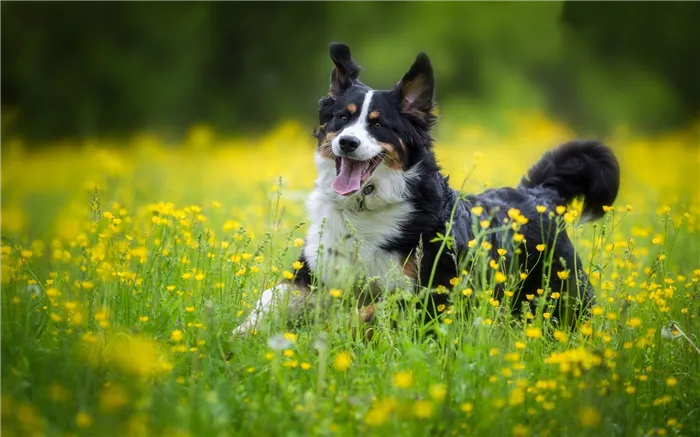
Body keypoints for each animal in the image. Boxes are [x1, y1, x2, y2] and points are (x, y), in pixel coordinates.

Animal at [232, 43, 620, 334]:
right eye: (342, 118)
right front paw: (241, 336)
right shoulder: (315, 272)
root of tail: (539, 194)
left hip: (564, 296)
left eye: (379, 125)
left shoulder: (430, 292)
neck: (366, 209)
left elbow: (369, 312)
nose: (347, 142)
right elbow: (272, 297)